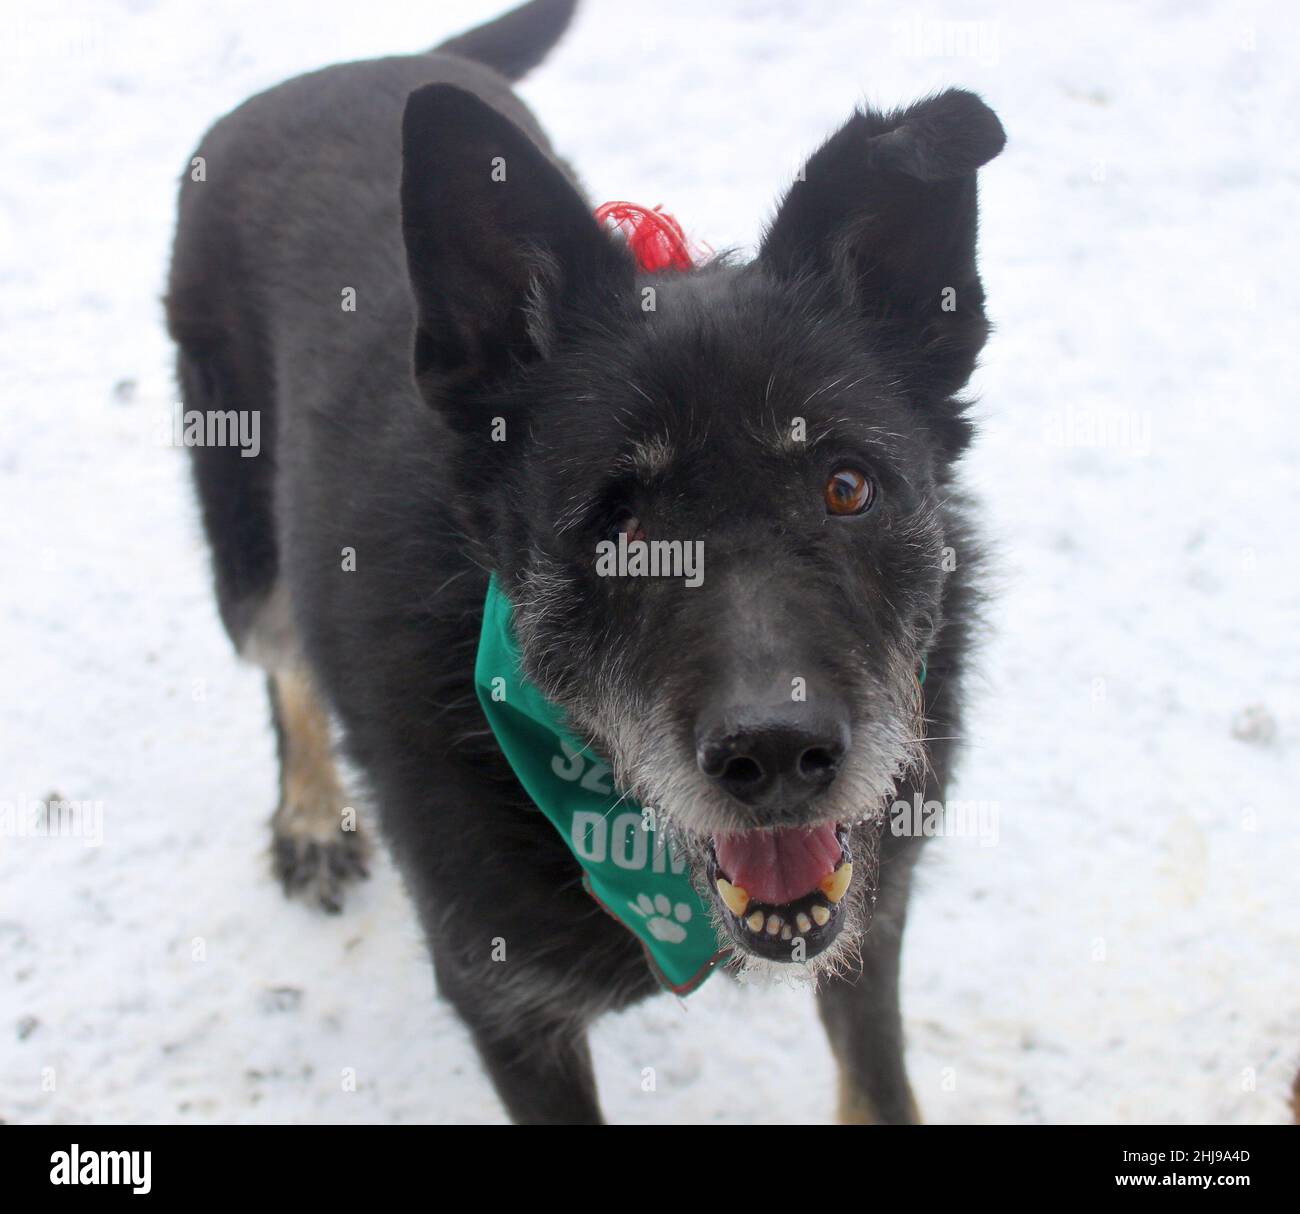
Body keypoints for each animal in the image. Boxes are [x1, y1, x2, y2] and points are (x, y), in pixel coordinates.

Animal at [167, 0, 1003, 1133]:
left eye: (845, 486)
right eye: (618, 524)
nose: (778, 751)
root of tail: (373, 61)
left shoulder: (868, 928)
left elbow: (879, 1087)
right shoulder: (506, 1008)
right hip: (244, 537)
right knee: (281, 660)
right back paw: (308, 814)